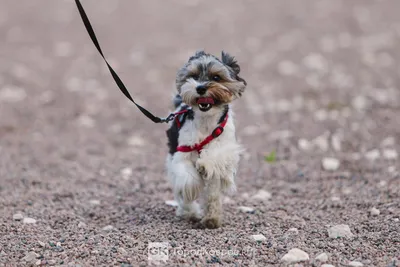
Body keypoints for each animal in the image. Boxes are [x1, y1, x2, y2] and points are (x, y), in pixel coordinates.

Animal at [164, 51, 245, 229]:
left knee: (212, 195)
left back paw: (211, 218)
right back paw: (190, 212)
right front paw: (192, 187)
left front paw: (204, 164)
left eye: (216, 77)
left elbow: (216, 157)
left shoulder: (226, 145)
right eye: (193, 76)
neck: (206, 122)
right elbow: (187, 177)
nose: (200, 88)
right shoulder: (182, 151)